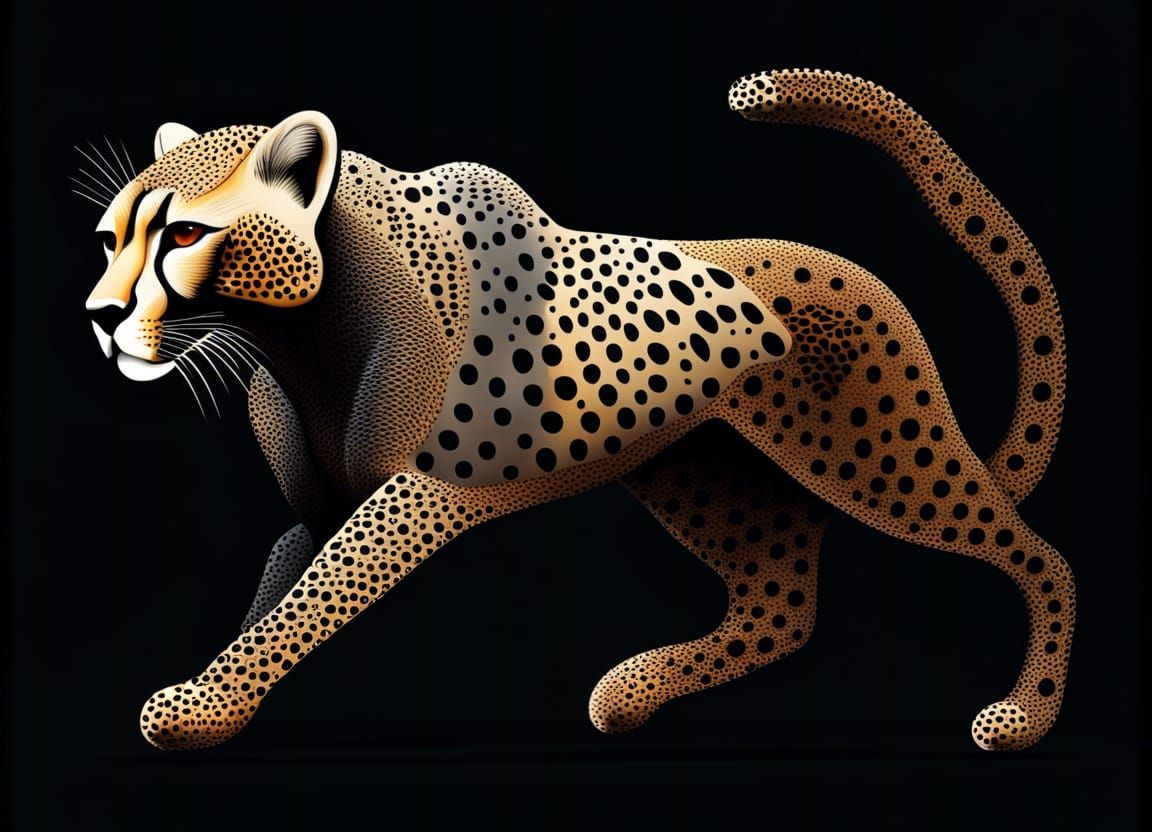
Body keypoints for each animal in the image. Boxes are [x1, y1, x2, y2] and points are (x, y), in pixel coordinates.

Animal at [78, 68, 1071, 752]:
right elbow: (272, 599)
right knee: (781, 606)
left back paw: (1021, 716)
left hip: (881, 460)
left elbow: (310, 601)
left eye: (184, 233)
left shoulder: (420, 491)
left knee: (1039, 556)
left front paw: (198, 706)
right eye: (109, 238)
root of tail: (859, 275)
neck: (306, 336)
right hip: (703, 478)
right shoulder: (314, 510)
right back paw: (636, 689)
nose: (100, 316)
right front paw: (214, 700)